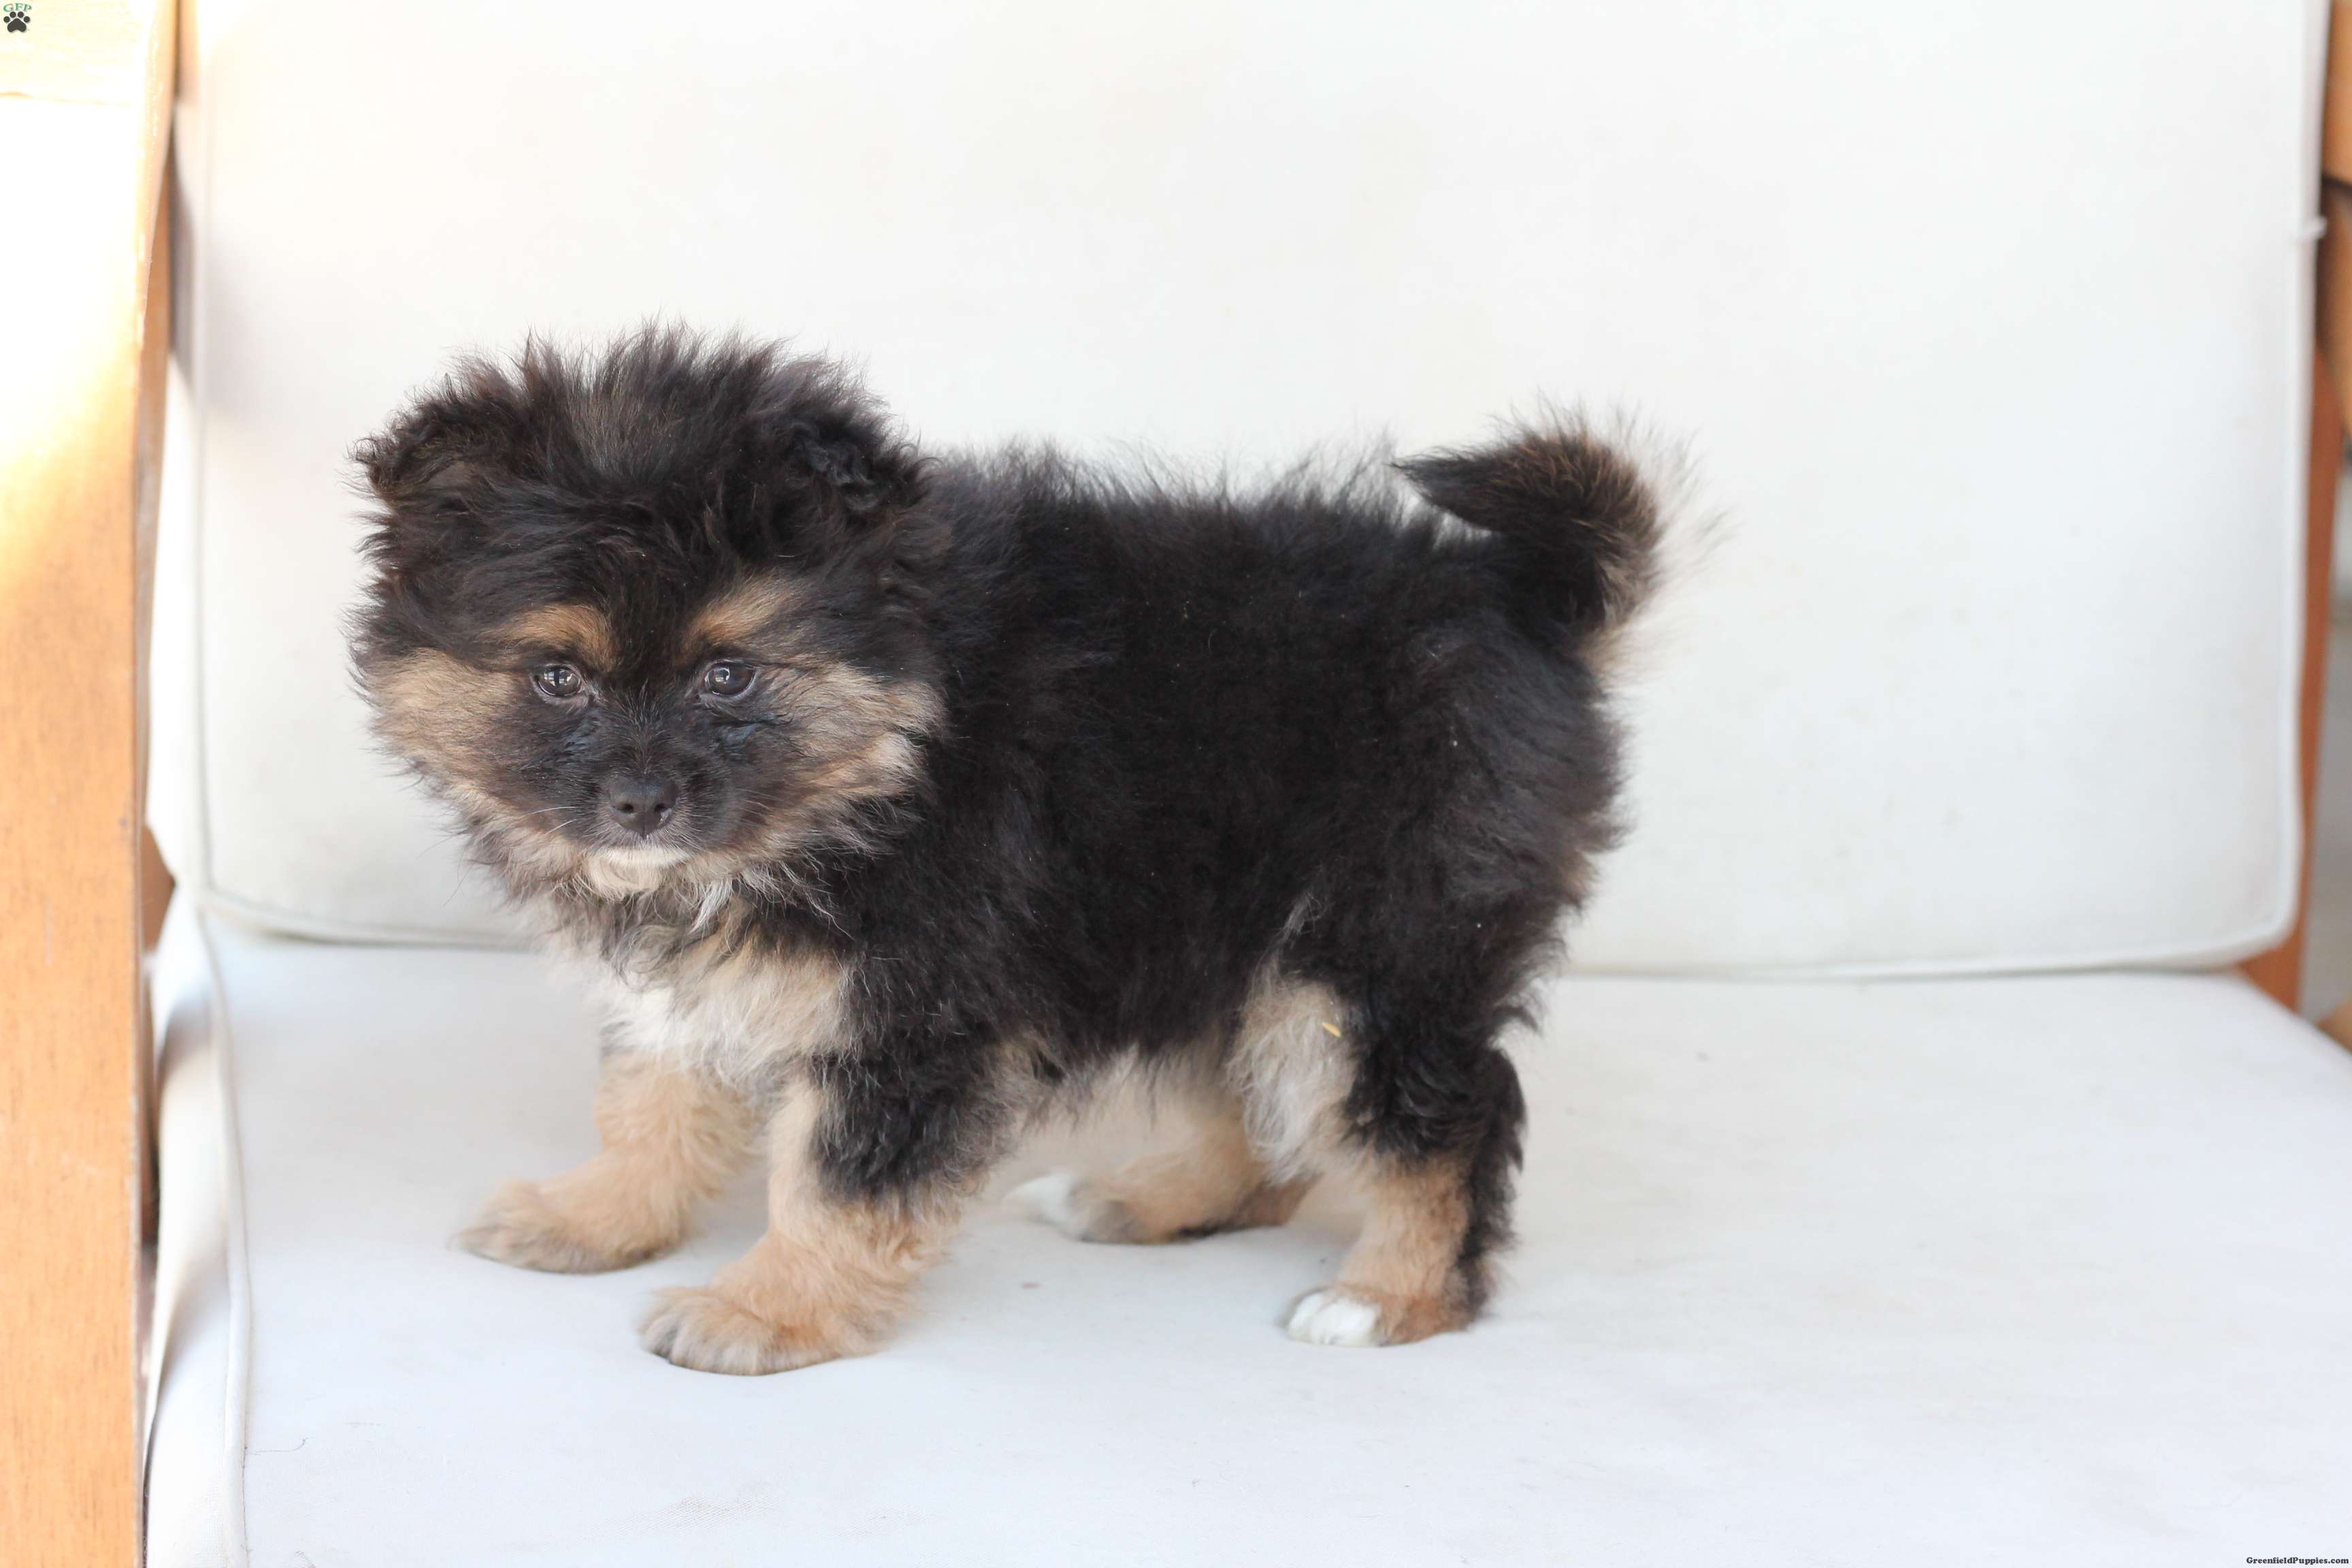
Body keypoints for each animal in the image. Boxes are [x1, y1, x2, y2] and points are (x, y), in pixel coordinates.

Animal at [350, 327, 1672, 1374]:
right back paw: (1146, 1198)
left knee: (1443, 1112)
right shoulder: (696, 984)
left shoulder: (913, 1011)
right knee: (1262, 1107)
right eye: (555, 677)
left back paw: (1392, 1295)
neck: (891, 745)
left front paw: (767, 1311)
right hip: (1208, 919)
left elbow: (834, 1176)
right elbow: (652, 1100)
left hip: (1372, 946)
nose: (639, 800)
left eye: (729, 675)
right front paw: (595, 1218)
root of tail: (1521, 597)